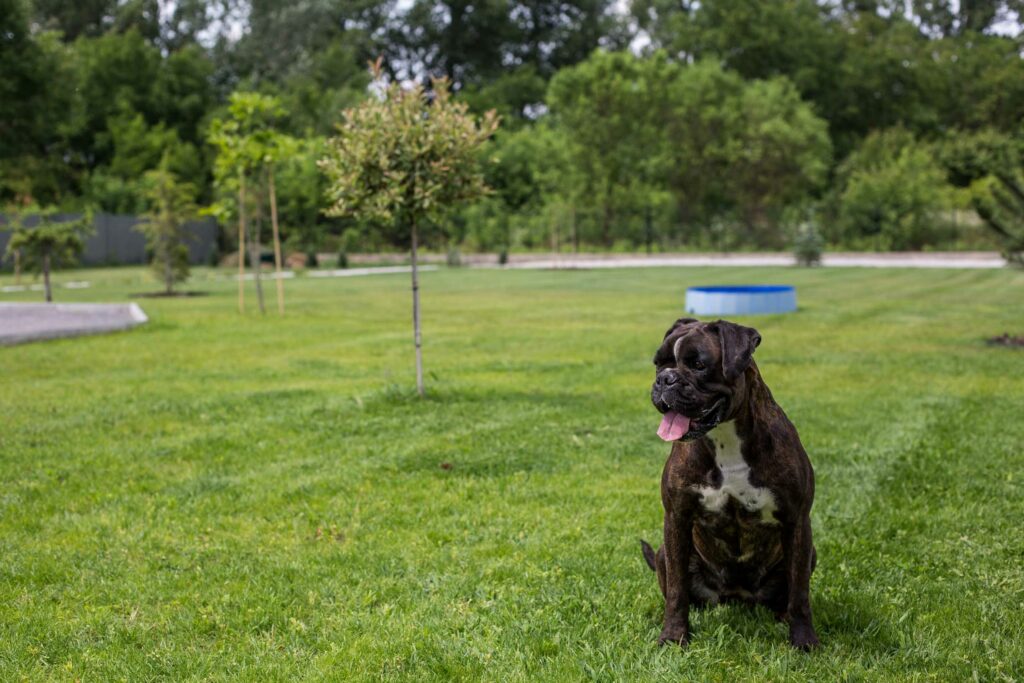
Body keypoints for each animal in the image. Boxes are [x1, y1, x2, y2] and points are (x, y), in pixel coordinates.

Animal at [643, 317, 819, 651]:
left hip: (809, 551)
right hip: (663, 553)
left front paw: (804, 640)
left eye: (698, 364)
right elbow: (676, 591)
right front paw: (673, 636)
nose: (664, 380)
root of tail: (736, 595)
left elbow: (800, 593)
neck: (725, 437)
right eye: (659, 364)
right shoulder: (676, 518)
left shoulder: (797, 521)